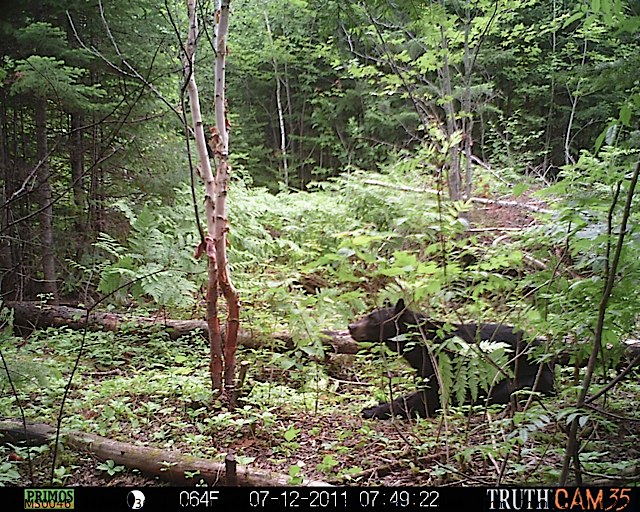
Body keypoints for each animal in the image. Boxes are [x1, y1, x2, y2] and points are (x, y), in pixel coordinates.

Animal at [348, 298, 552, 418]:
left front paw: (373, 410)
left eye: (373, 319)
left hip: (525, 377)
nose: (351, 326)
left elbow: (429, 399)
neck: (423, 344)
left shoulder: (443, 366)